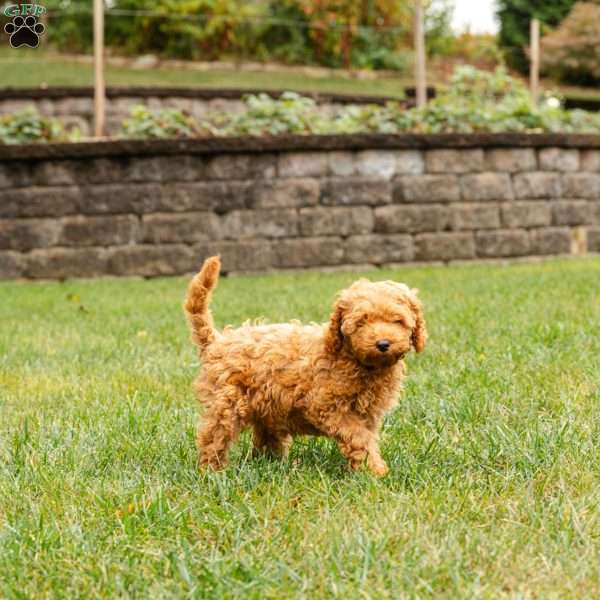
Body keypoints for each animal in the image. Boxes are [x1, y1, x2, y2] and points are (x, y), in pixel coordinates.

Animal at [185, 255, 424, 476]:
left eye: (397, 321)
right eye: (361, 322)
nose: (383, 344)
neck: (352, 358)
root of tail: (216, 341)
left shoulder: (369, 414)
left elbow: (366, 438)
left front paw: (366, 468)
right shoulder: (325, 406)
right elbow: (358, 437)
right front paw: (376, 472)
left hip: (267, 406)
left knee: (265, 436)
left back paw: (271, 463)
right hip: (227, 403)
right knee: (214, 436)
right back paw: (212, 470)